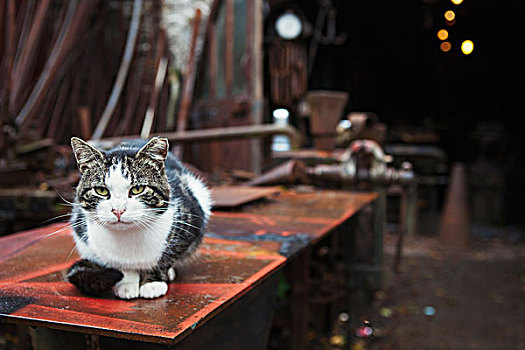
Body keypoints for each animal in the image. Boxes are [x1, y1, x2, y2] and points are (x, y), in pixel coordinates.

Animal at [67, 137, 211, 298]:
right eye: (101, 190)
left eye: (137, 189)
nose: (118, 210)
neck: (128, 237)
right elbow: (119, 264)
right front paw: (127, 283)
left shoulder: (192, 220)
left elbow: (166, 258)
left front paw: (153, 283)